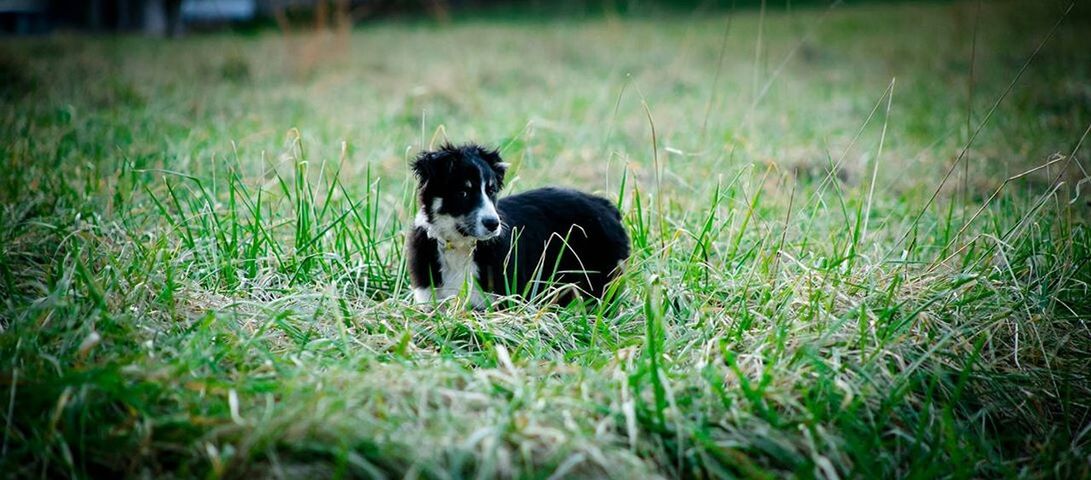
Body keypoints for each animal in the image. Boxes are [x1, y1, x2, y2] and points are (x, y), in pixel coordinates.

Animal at [408, 142, 632, 307]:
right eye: (463, 192)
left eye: (491, 190)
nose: (493, 224)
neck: (459, 245)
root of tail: (606, 206)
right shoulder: (429, 298)